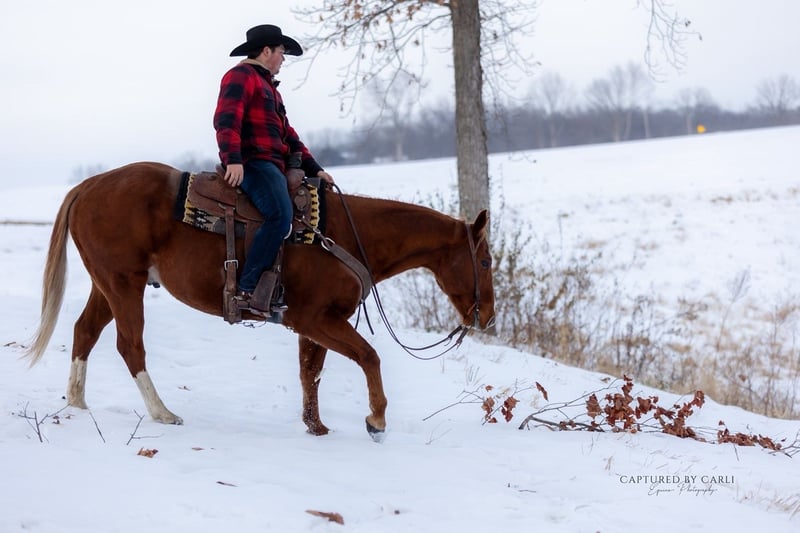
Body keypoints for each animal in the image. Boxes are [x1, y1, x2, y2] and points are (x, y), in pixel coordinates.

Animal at [23, 161, 496, 440]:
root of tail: (88, 185)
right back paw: (163, 413)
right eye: (487, 261)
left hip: (109, 284)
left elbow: (310, 374)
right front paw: (376, 420)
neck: (343, 236)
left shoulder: (316, 325)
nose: (488, 317)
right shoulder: (315, 319)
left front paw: (316, 427)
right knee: (130, 346)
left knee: (85, 331)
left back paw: (78, 403)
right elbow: (369, 356)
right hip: (124, 284)